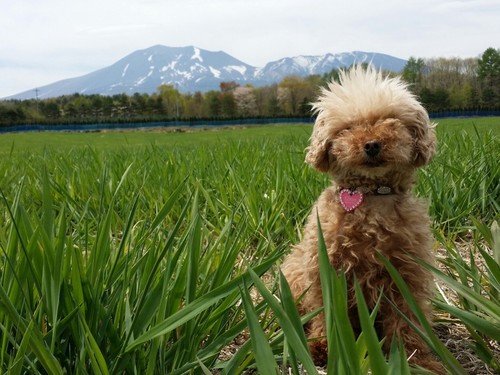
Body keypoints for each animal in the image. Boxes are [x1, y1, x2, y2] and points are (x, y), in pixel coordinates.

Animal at [284, 66, 444, 374]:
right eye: (348, 128)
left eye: (391, 122)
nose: (371, 144)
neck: (371, 195)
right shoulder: (326, 269)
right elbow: (326, 313)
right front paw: (325, 348)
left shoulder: (407, 272)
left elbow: (408, 319)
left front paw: (415, 359)